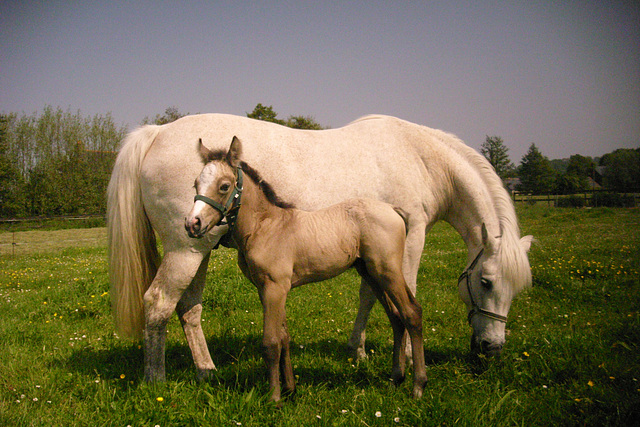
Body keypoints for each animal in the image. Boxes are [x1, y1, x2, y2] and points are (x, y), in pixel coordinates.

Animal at [107, 113, 532, 382]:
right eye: (486, 282)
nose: (492, 348)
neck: (420, 157)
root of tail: (156, 132)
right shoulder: (412, 235)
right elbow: (405, 296)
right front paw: (410, 359)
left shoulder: (372, 251)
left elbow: (368, 296)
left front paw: (358, 351)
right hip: (186, 249)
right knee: (159, 303)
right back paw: (156, 379)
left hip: (200, 247)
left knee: (188, 309)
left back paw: (206, 372)